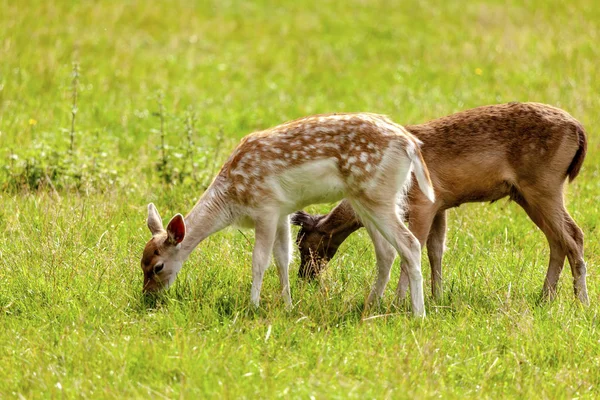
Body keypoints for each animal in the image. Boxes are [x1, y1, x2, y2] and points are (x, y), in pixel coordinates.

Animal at [139, 112, 436, 316]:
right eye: (140, 263)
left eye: (158, 266)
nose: (148, 297)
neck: (232, 199)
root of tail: (411, 143)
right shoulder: (283, 212)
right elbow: (283, 259)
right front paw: (288, 305)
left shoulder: (266, 208)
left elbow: (259, 260)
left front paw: (253, 306)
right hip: (369, 200)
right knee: (387, 251)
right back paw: (370, 306)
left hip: (376, 195)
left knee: (410, 244)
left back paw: (418, 314)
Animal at [292, 101, 588, 304]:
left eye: (304, 245)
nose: (304, 278)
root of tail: (578, 129)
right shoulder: (440, 206)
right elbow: (436, 250)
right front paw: (437, 297)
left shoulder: (422, 203)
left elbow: (413, 249)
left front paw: (400, 301)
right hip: (526, 194)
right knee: (557, 240)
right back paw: (546, 297)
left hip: (543, 185)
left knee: (574, 235)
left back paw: (580, 301)